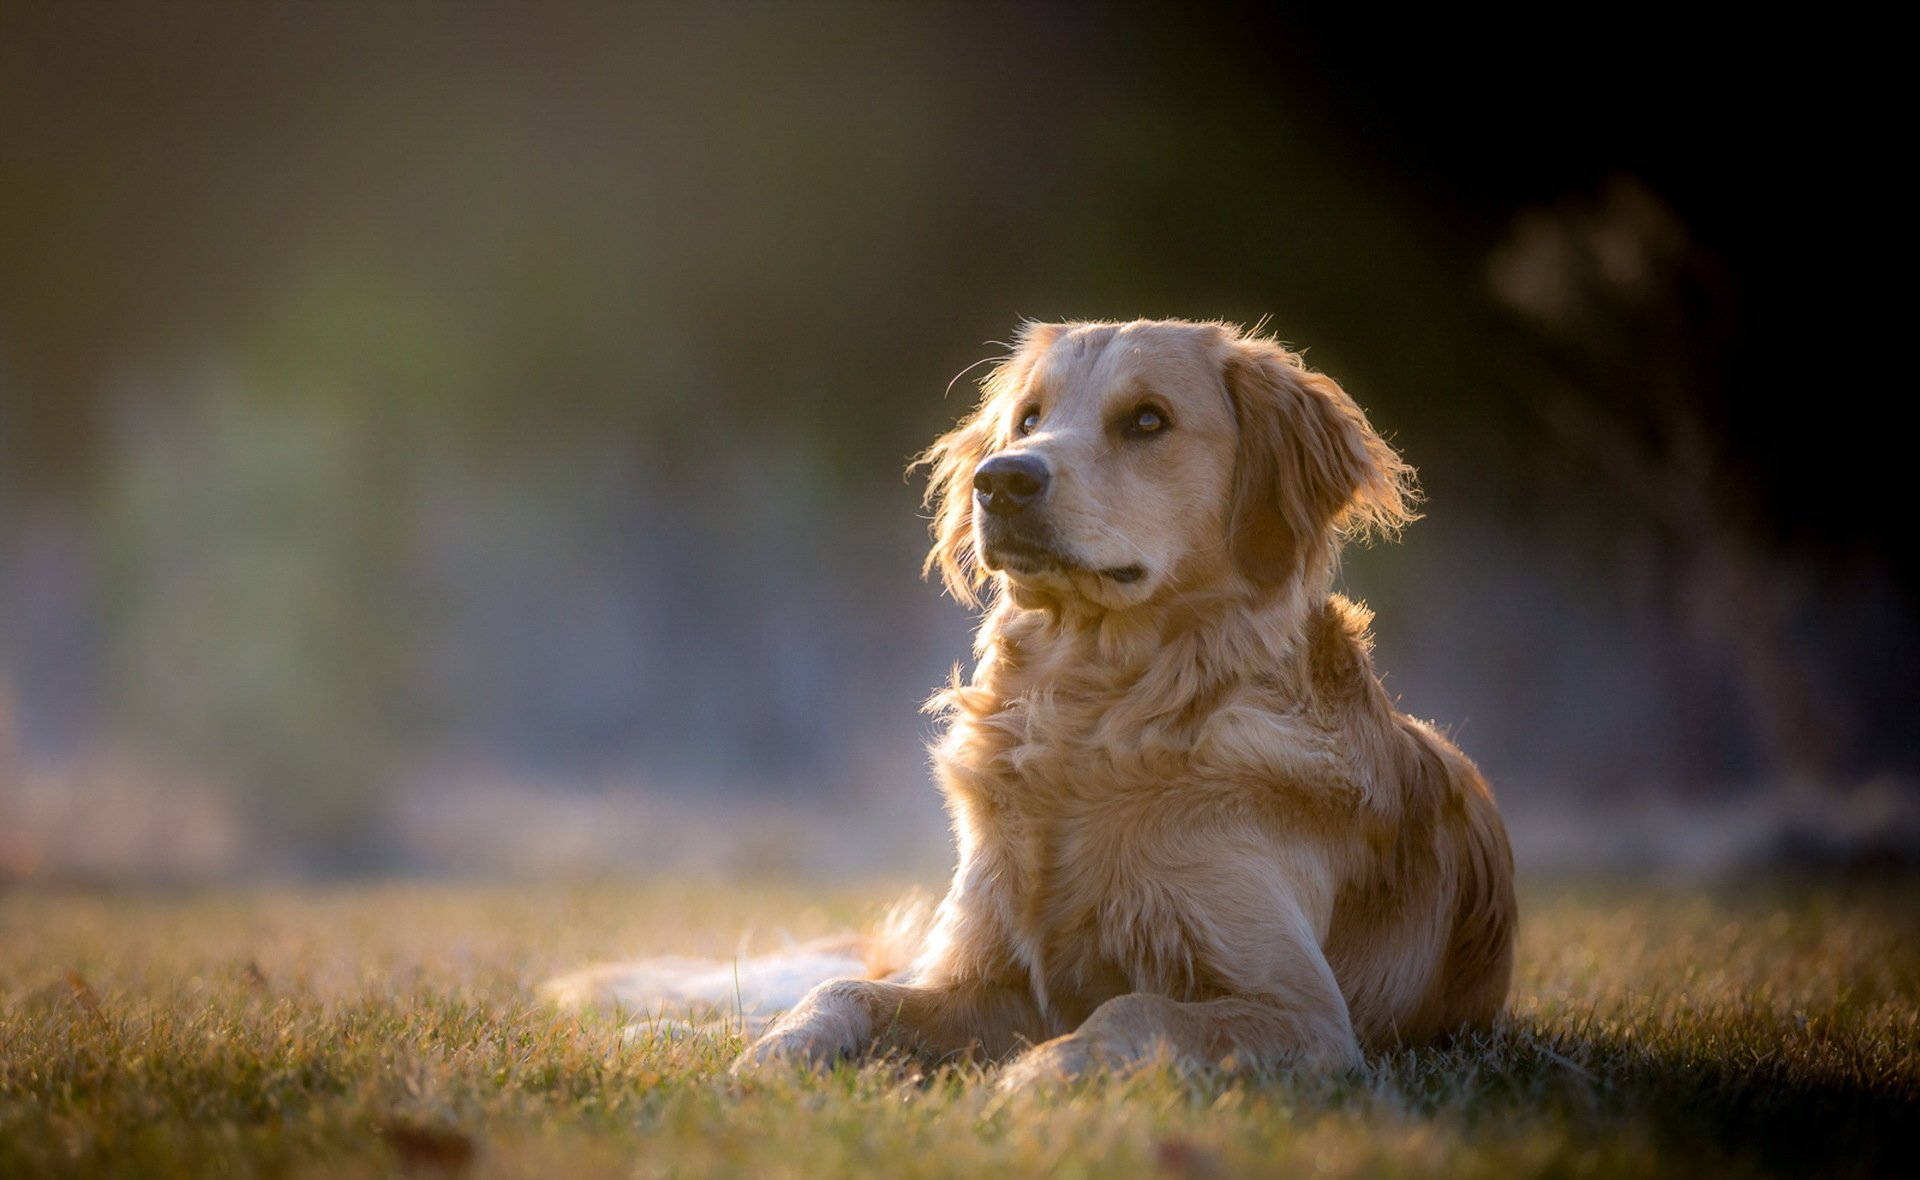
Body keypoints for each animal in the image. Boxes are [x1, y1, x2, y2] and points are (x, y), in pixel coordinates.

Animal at [545, 316, 1512, 1089]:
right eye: (1029, 419)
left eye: (1148, 420)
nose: (1002, 480)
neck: (1093, 719)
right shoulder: (987, 974)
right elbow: (841, 990)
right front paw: (767, 1061)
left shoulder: (1303, 1010)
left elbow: (1134, 1010)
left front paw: (1034, 1081)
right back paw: (659, 1031)